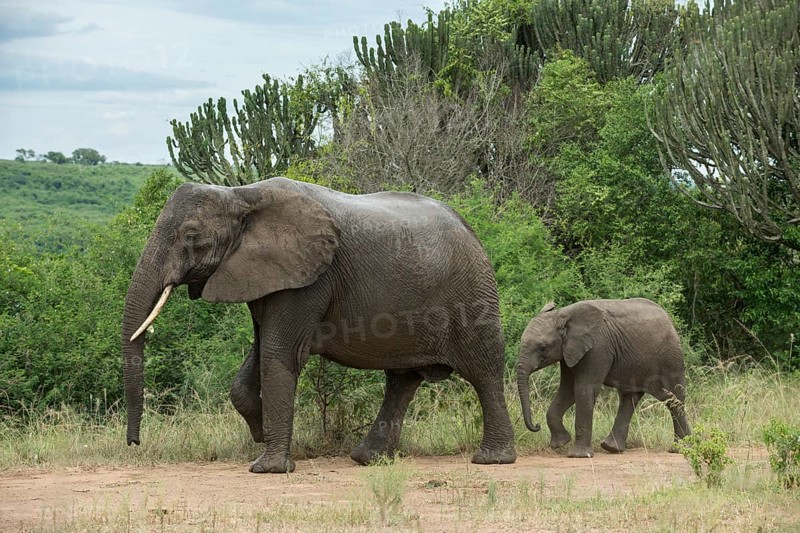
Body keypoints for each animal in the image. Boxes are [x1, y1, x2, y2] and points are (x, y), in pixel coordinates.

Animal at [121, 177, 517, 473]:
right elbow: (258, 352)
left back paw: (492, 459)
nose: (134, 443)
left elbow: (279, 353)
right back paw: (368, 459)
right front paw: (261, 433)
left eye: (190, 236)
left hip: (470, 292)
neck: (241, 195)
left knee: (483, 369)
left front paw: (268, 467)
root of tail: (470, 228)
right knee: (402, 379)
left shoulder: (310, 279)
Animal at [517, 298, 690, 458]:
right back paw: (612, 448)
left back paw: (679, 449)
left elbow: (584, 390)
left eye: (542, 348)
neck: (563, 314)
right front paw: (560, 443)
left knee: (672, 397)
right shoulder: (569, 352)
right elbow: (568, 390)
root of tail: (669, 319)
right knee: (630, 398)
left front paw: (579, 455)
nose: (537, 425)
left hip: (670, 358)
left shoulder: (597, 348)